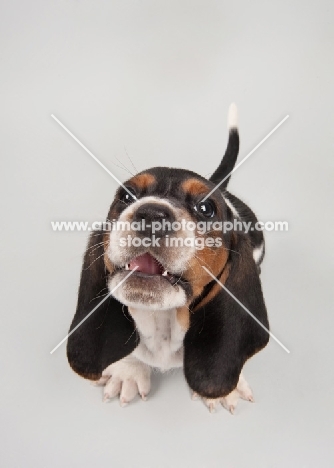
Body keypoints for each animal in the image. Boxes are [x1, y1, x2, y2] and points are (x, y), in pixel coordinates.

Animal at [67, 103, 268, 414]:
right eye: (127, 196)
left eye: (206, 208)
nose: (150, 215)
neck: (163, 320)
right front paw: (128, 370)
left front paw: (227, 389)